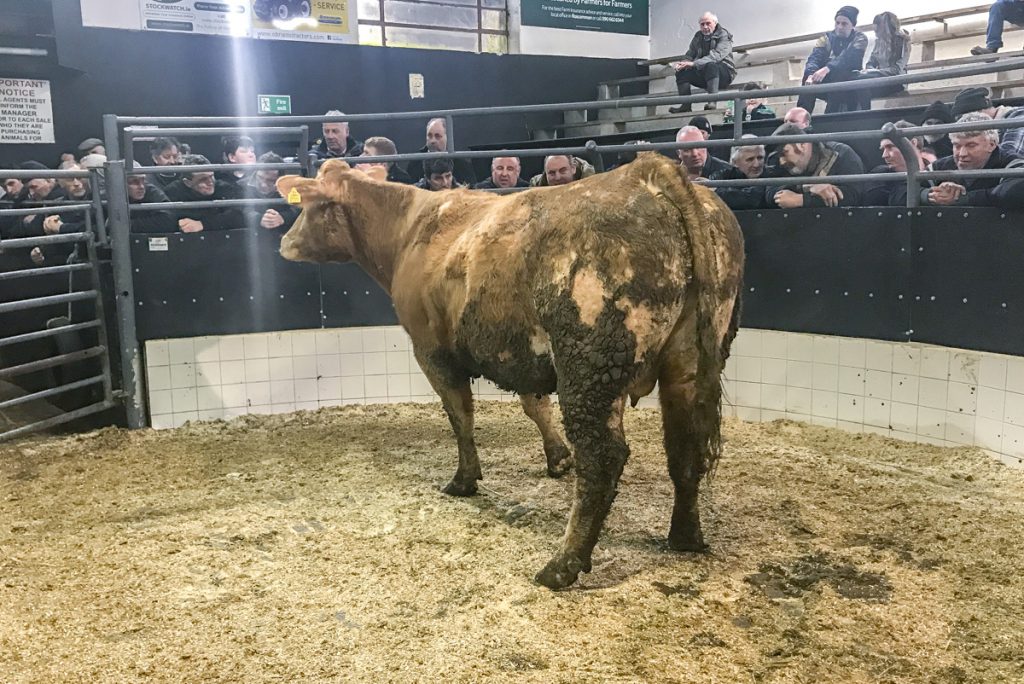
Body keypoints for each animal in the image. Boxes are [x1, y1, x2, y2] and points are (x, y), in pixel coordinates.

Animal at [276, 154, 744, 589]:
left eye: (309, 205)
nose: (284, 241)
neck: (411, 228)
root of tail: (647, 171)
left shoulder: (431, 350)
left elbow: (460, 415)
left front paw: (464, 479)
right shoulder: (522, 353)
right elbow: (536, 406)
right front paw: (557, 458)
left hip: (590, 362)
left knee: (604, 458)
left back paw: (563, 564)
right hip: (690, 359)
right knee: (685, 447)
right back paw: (685, 536)